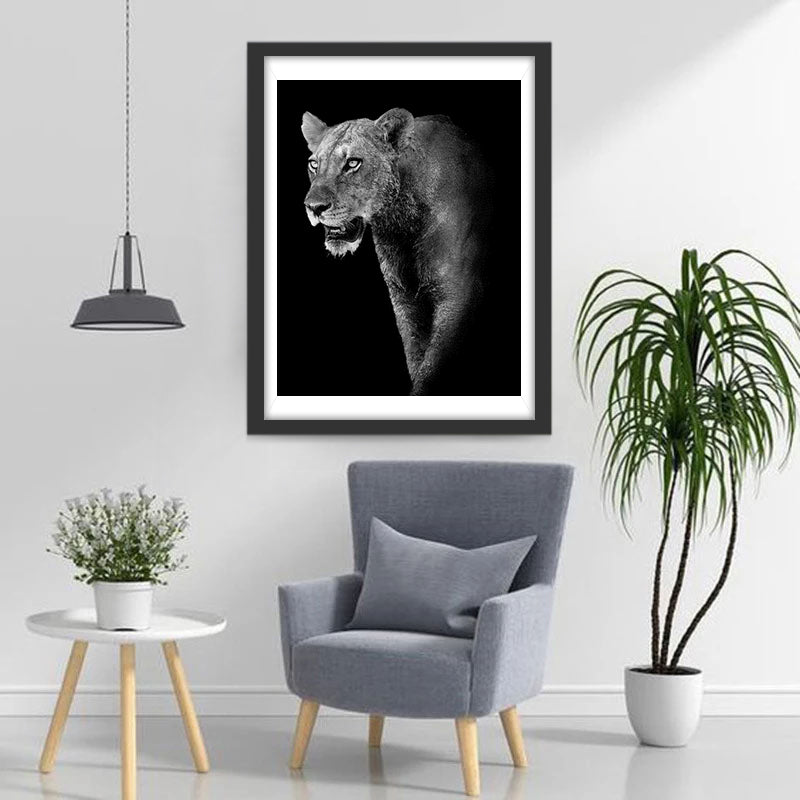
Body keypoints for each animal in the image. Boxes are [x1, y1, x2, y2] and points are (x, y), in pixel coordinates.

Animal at [301, 107, 494, 396]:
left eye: (353, 163)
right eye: (314, 164)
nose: (314, 207)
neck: (400, 224)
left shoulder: (459, 296)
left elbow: (432, 369)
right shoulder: (404, 298)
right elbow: (416, 357)